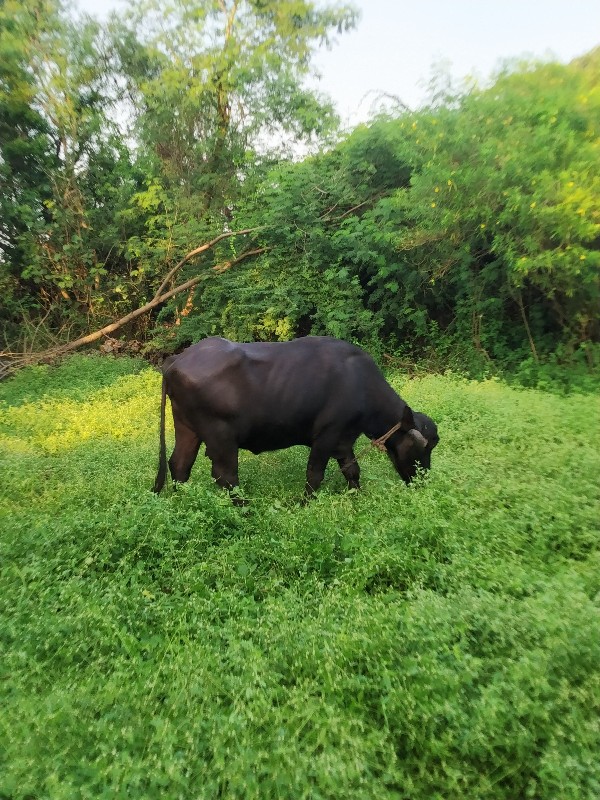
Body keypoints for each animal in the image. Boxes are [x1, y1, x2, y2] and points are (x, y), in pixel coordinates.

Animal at [152, 336, 438, 500]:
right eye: (422, 448)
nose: (422, 480)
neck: (360, 383)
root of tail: (177, 359)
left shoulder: (344, 440)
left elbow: (352, 470)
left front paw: (357, 495)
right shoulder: (326, 436)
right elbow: (315, 475)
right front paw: (305, 503)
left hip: (188, 428)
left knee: (180, 465)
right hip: (220, 435)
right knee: (225, 475)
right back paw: (245, 508)